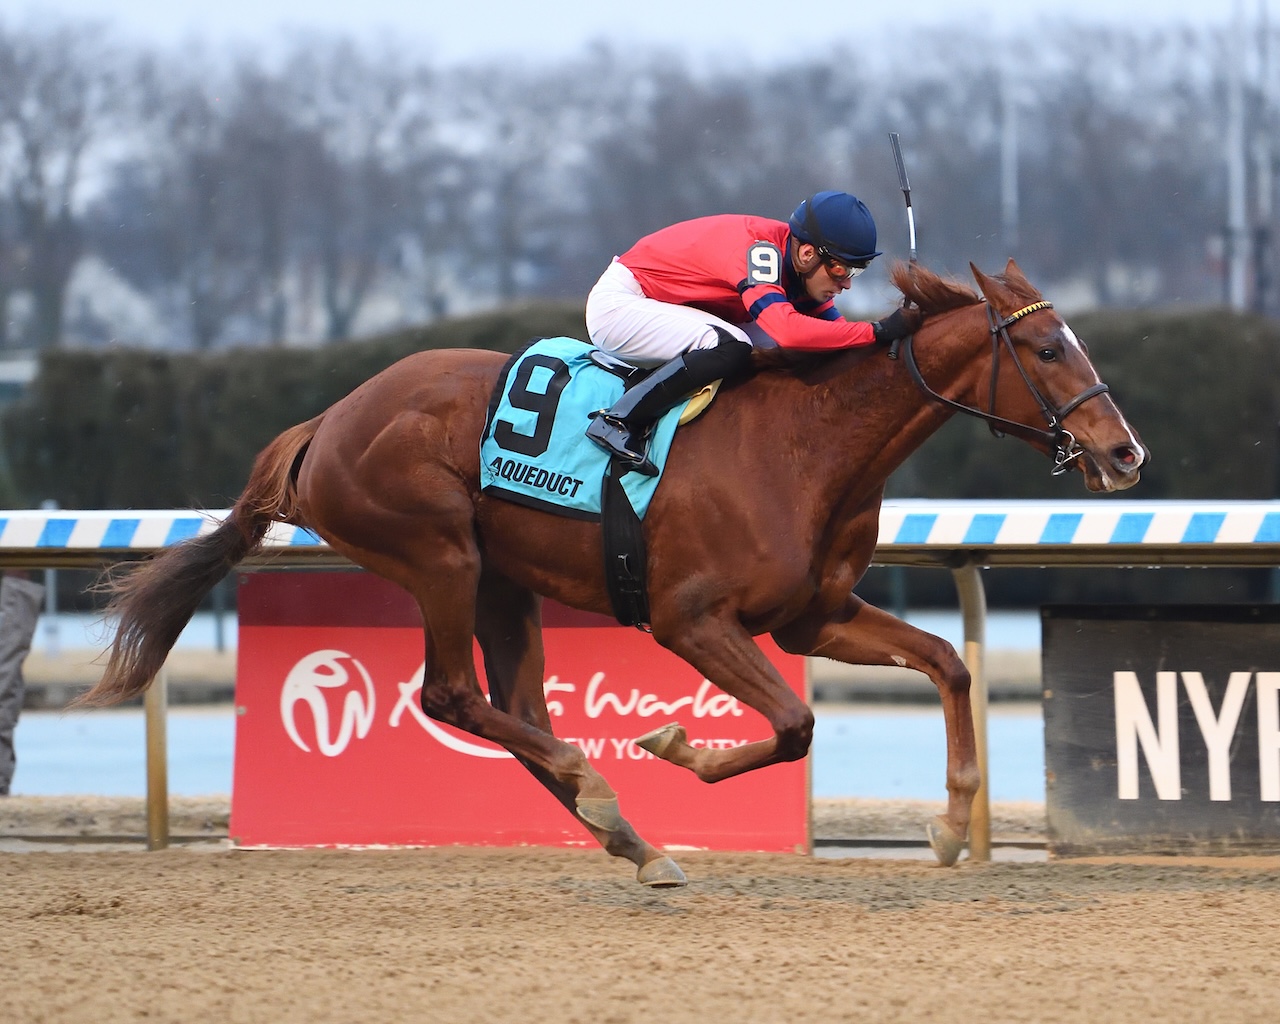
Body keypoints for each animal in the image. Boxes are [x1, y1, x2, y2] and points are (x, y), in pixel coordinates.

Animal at [77, 259, 1141, 885]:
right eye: (1047, 347)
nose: (1125, 454)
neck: (809, 444)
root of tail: (327, 421)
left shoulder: (815, 614)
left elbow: (949, 665)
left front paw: (954, 824)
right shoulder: (690, 618)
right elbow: (795, 724)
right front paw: (676, 747)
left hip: (502, 580)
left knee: (510, 707)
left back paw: (627, 835)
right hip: (438, 553)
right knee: (453, 694)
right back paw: (603, 792)